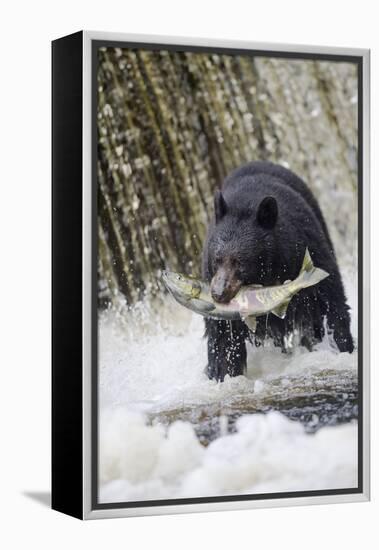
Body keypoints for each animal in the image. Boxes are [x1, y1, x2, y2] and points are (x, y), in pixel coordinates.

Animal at [203, 162, 354, 382]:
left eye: (239, 262)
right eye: (217, 259)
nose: (218, 294)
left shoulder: (306, 248)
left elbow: (330, 298)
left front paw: (343, 347)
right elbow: (222, 334)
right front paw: (223, 373)